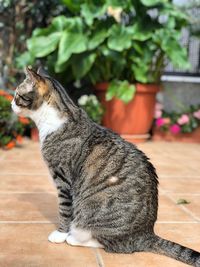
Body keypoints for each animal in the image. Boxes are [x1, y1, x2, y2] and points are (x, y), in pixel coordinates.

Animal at [11, 67, 200, 266]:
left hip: (94, 216)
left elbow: (64, 210)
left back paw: (74, 238)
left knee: (111, 245)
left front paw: (60, 234)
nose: (10, 103)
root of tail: (146, 234)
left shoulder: (63, 179)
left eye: (17, 95)